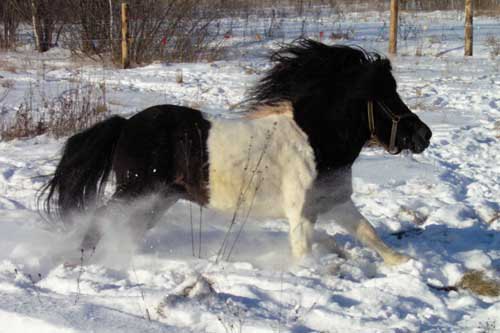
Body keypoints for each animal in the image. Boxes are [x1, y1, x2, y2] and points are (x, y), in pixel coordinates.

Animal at [40, 39, 430, 264]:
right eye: (387, 97)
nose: (424, 135)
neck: (315, 141)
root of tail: (125, 125)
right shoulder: (301, 214)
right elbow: (305, 252)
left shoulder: (334, 202)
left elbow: (367, 232)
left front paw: (402, 263)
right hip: (136, 190)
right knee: (101, 218)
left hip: (157, 198)